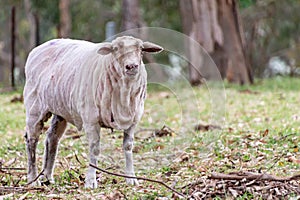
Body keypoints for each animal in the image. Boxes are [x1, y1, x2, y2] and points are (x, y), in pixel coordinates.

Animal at [22, 36, 164, 188]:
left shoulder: (133, 120)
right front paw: (91, 181)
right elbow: (94, 149)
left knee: (52, 138)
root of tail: (40, 47)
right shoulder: (91, 119)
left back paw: (48, 177)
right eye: (115, 50)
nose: (131, 66)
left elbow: (128, 147)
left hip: (60, 110)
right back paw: (33, 179)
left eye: (141, 49)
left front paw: (131, 178)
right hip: (34, 107)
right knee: (31, 140)